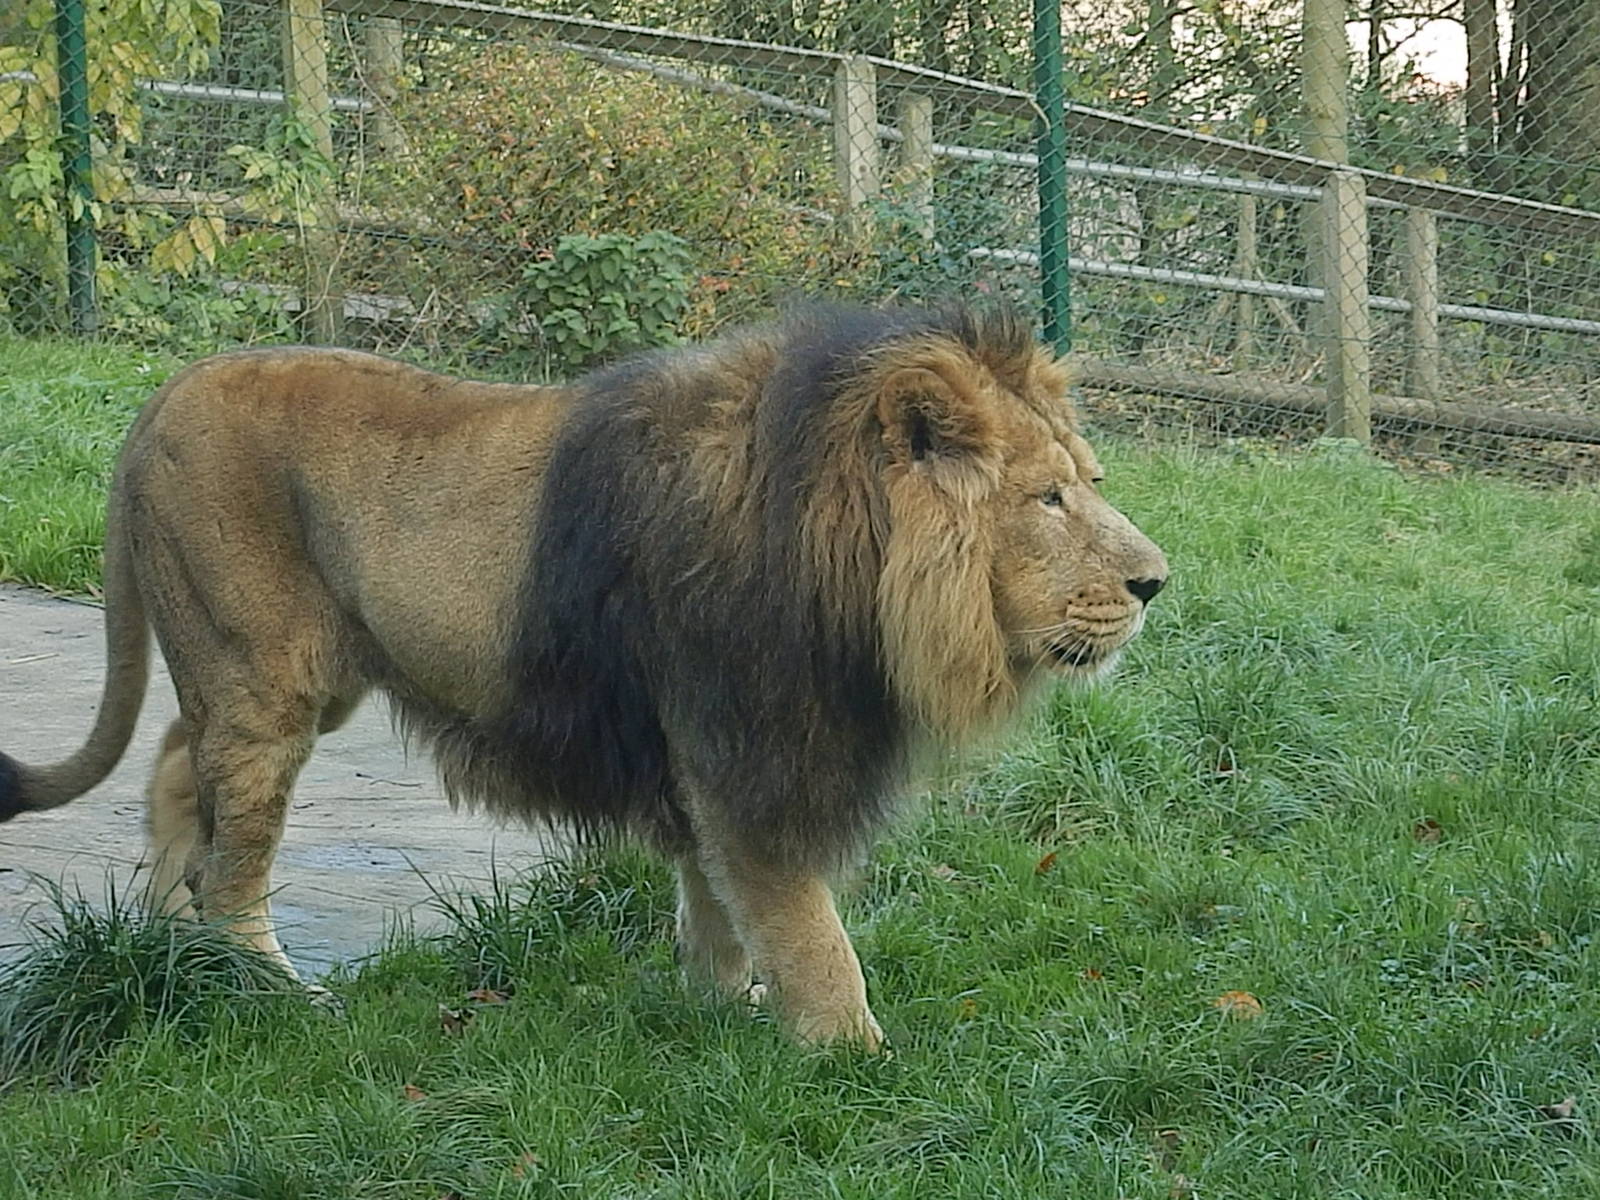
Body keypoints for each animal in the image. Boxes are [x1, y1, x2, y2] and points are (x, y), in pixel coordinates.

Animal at [0, 304, 1166, 1049]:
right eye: (1049, 499)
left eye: (1087, 484)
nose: (1156, 582)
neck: (843, 556)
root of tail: (162, 396)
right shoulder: (747, 748)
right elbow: (806, 927)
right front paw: (851, 1056)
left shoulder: (701, 751)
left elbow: (714, 900)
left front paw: (720, 1009)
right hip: (264, 676)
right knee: (232, 860)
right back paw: (265, 993)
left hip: (286, 679)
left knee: (173, 769)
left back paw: (166, 948)